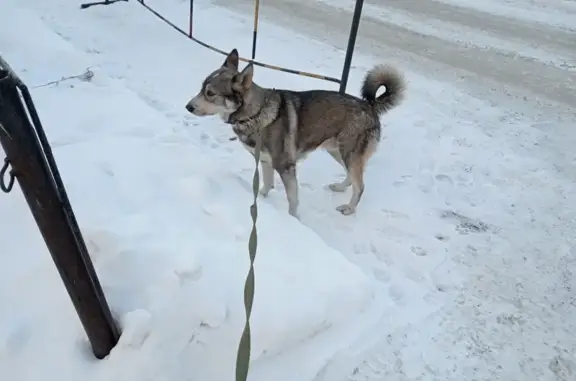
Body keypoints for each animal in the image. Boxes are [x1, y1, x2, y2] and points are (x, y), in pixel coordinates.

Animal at [184, 49, 404, 218]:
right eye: (202, 88)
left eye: (210, 93)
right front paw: (261, 200)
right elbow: (266, 184)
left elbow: (292, 199)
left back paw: (349, 208)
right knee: (352, 176)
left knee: (361, 185)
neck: (256, 114)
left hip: (348, 153)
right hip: (338, 151)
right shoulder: (265, 161)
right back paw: (341, 187)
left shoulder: (285, 166)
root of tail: (370, 105)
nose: (188, 107)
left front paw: (293, 220)